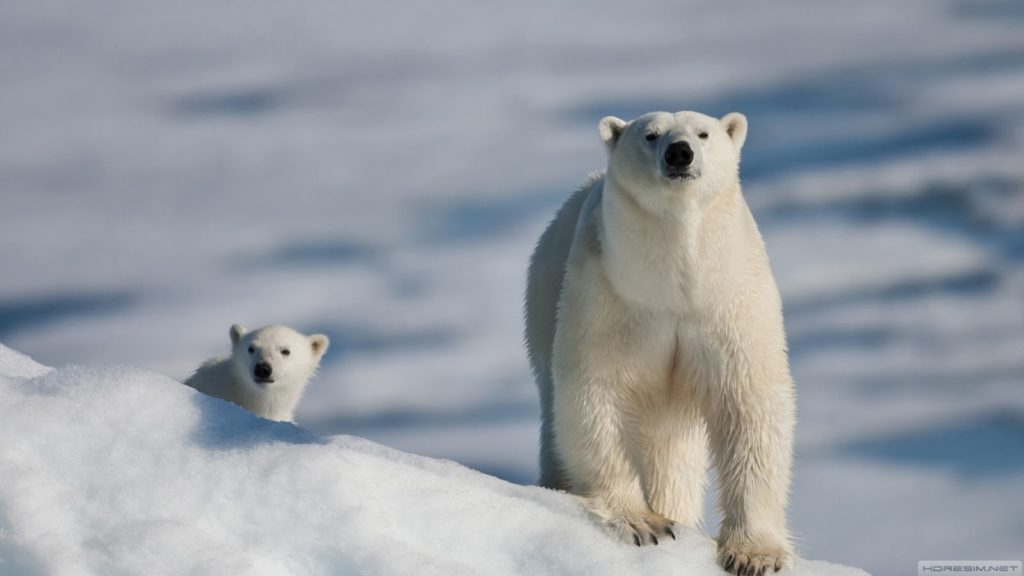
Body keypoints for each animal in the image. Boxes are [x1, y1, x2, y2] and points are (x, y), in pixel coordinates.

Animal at [524, 109, 794, 569]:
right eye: (650, 135)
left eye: (703, 133)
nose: (680, 153)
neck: (675, 285)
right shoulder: (611, 295)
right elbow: (596, 393)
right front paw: (643, 523)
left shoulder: (729, 300)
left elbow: (749, 403)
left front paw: (754, 555)